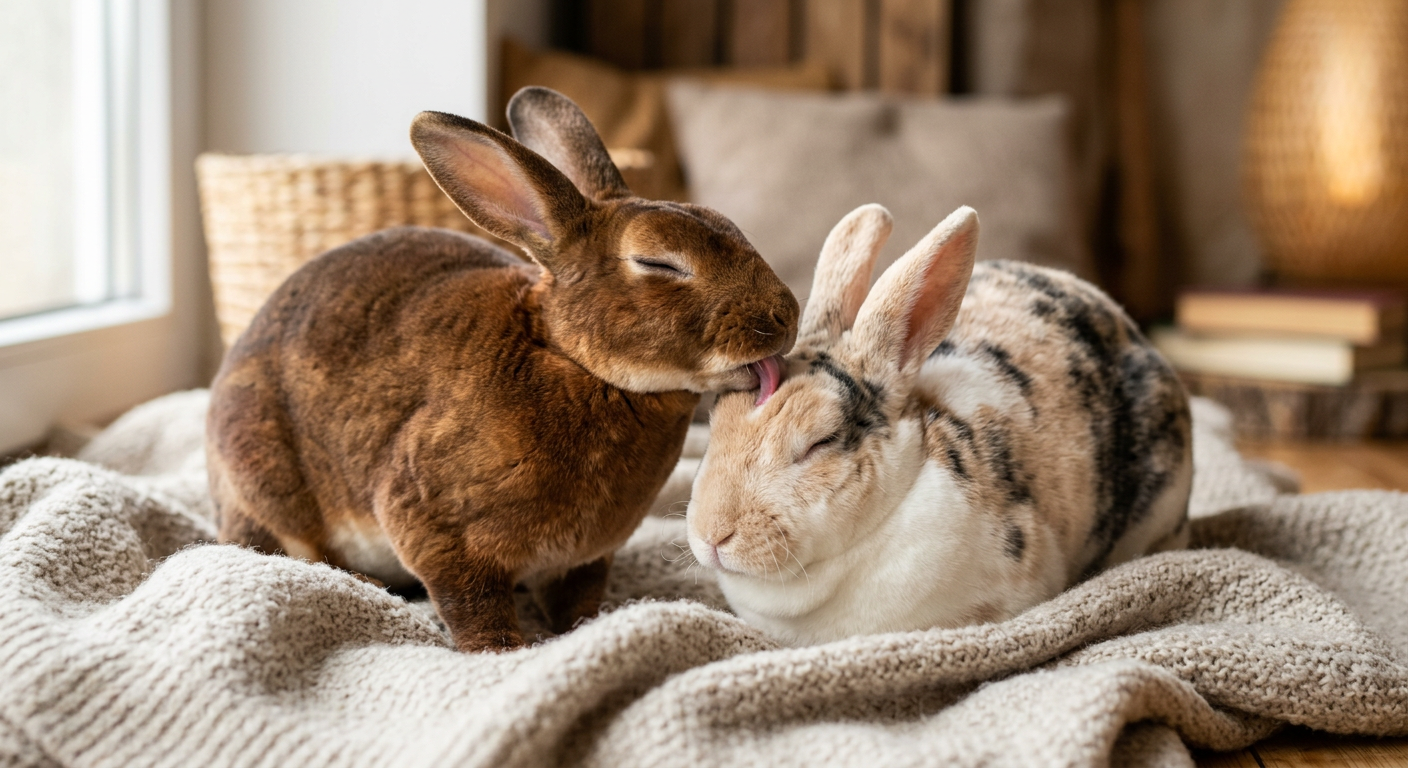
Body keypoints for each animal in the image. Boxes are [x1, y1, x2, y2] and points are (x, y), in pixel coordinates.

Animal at [206, 87, 799, 652]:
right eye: (659, 263)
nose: (786, 315)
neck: (574, 361)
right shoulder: (435, 526)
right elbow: (470, 602)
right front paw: (502, 650)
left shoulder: (583, 560)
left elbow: (576, 602)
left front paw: (592, 627)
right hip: (265, 473)